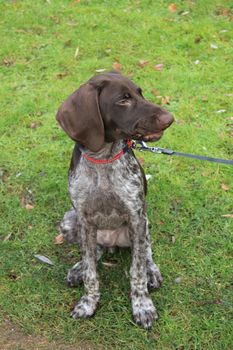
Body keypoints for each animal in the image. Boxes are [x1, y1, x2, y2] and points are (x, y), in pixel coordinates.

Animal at [56, 71, 173, 328]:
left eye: (140, 93)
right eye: (123, 100)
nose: (170, 118)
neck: (102, 158)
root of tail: (111, 243)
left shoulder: (136, 217)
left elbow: (137, 270)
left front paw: (142, 306)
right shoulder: (84, 220)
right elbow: (91, 272)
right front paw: (88, 303)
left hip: (143, 225)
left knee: (146, 252)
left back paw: (152, 271)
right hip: (69, 221)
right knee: (94, 252)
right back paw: (78, 269)